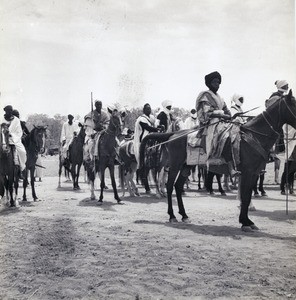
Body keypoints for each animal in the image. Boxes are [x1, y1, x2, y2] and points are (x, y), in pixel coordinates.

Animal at [139, 90, 296, 231]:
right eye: (294, 104)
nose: (282, 147)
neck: (253, 136)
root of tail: (173, 135)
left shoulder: (254, 173)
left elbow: (247, 195)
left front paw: (247, 221)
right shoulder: (247, 172)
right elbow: (245, 197)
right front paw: (245, 222)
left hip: (186, 166)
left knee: (178, 186)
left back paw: (184, 215)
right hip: (175, 165)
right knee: (170, 185)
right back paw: (172, 215)